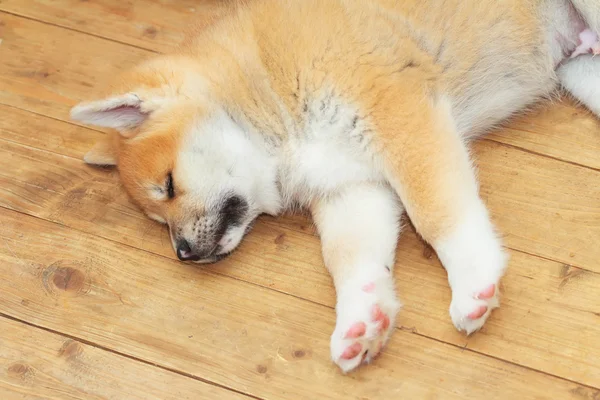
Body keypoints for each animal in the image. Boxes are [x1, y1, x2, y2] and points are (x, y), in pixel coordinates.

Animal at [70, 0, 600, 374]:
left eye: (168, 185)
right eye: (156, 218)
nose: (181, 252)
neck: (270, 92)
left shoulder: (397, 113)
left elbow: (436, 214)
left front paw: (473, 280)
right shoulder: (351, 186)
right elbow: (350, 260)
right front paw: (362, 320)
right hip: (582, 70)